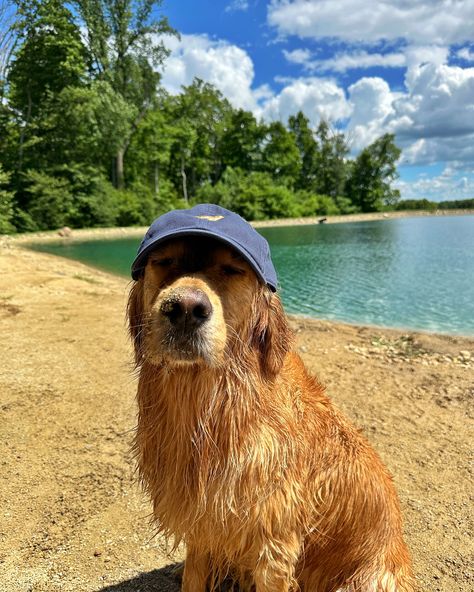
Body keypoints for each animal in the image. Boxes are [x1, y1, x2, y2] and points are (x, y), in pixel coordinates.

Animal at [128, 206, 412, 588]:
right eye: (164, 261)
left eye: (231, 270)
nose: (185, 308)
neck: (209, 401)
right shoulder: (204, 520)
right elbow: (194, 574)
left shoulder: (273, 546)